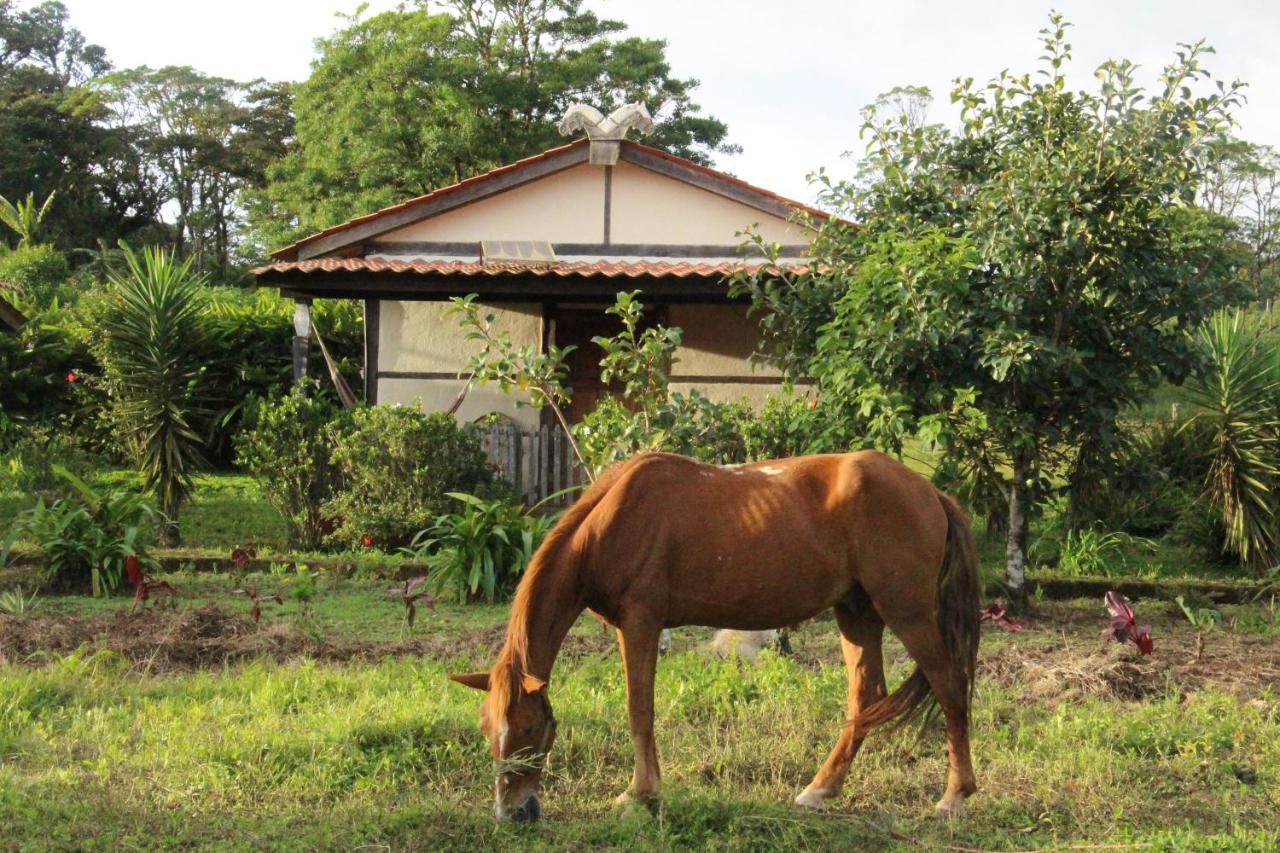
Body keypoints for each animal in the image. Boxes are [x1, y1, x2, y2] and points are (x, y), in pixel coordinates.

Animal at [450, 450, 977, 819]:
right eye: (486, 729)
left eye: (528, 728)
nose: (511, 812)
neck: (611, 521)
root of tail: (929, 493)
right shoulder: (630, 628)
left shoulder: (640, 622)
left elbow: (639, 710)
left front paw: (640, 794)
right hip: (857, 613)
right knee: (866, 698)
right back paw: (820, 790)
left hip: (906, 611)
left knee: (950, 687)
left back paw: (955, 796)